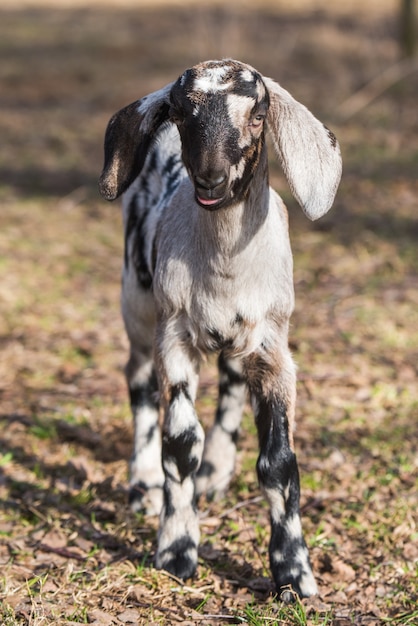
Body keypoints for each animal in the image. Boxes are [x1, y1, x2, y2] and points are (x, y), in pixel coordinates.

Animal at [99, 59, 342, 600]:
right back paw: (143, 483)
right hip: (136, 305)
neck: (225, 266)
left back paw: (216, 470)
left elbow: (279, 462)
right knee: (138, 382)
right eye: (180, 113)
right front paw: (176, 549)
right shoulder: (174, 341)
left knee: (230, 384)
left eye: (258, 115)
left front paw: (294, 572)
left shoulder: (274, 349)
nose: (211, 179)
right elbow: (179, 444)